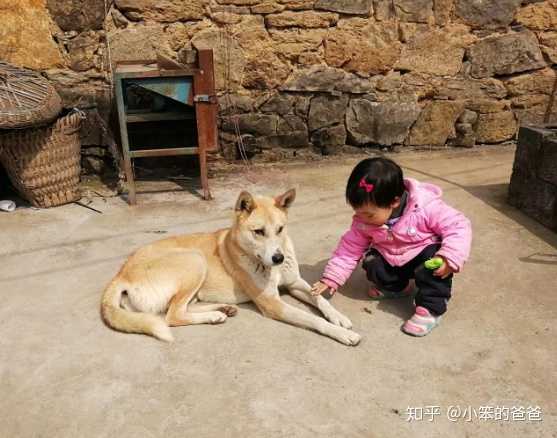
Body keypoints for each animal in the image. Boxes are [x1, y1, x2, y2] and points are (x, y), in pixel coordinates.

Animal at [101, 189, 360, 346]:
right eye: (258, 232)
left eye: (280, 229)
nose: (278, 258)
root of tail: (120, 274)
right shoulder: (272, 304)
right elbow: (313, 319)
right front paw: (343, 334)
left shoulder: (295, 283)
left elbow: (321, 300)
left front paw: (339, 318)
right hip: (194, 260)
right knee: (172, 316)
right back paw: (214, 315)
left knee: (180, 308)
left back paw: (222, 309)